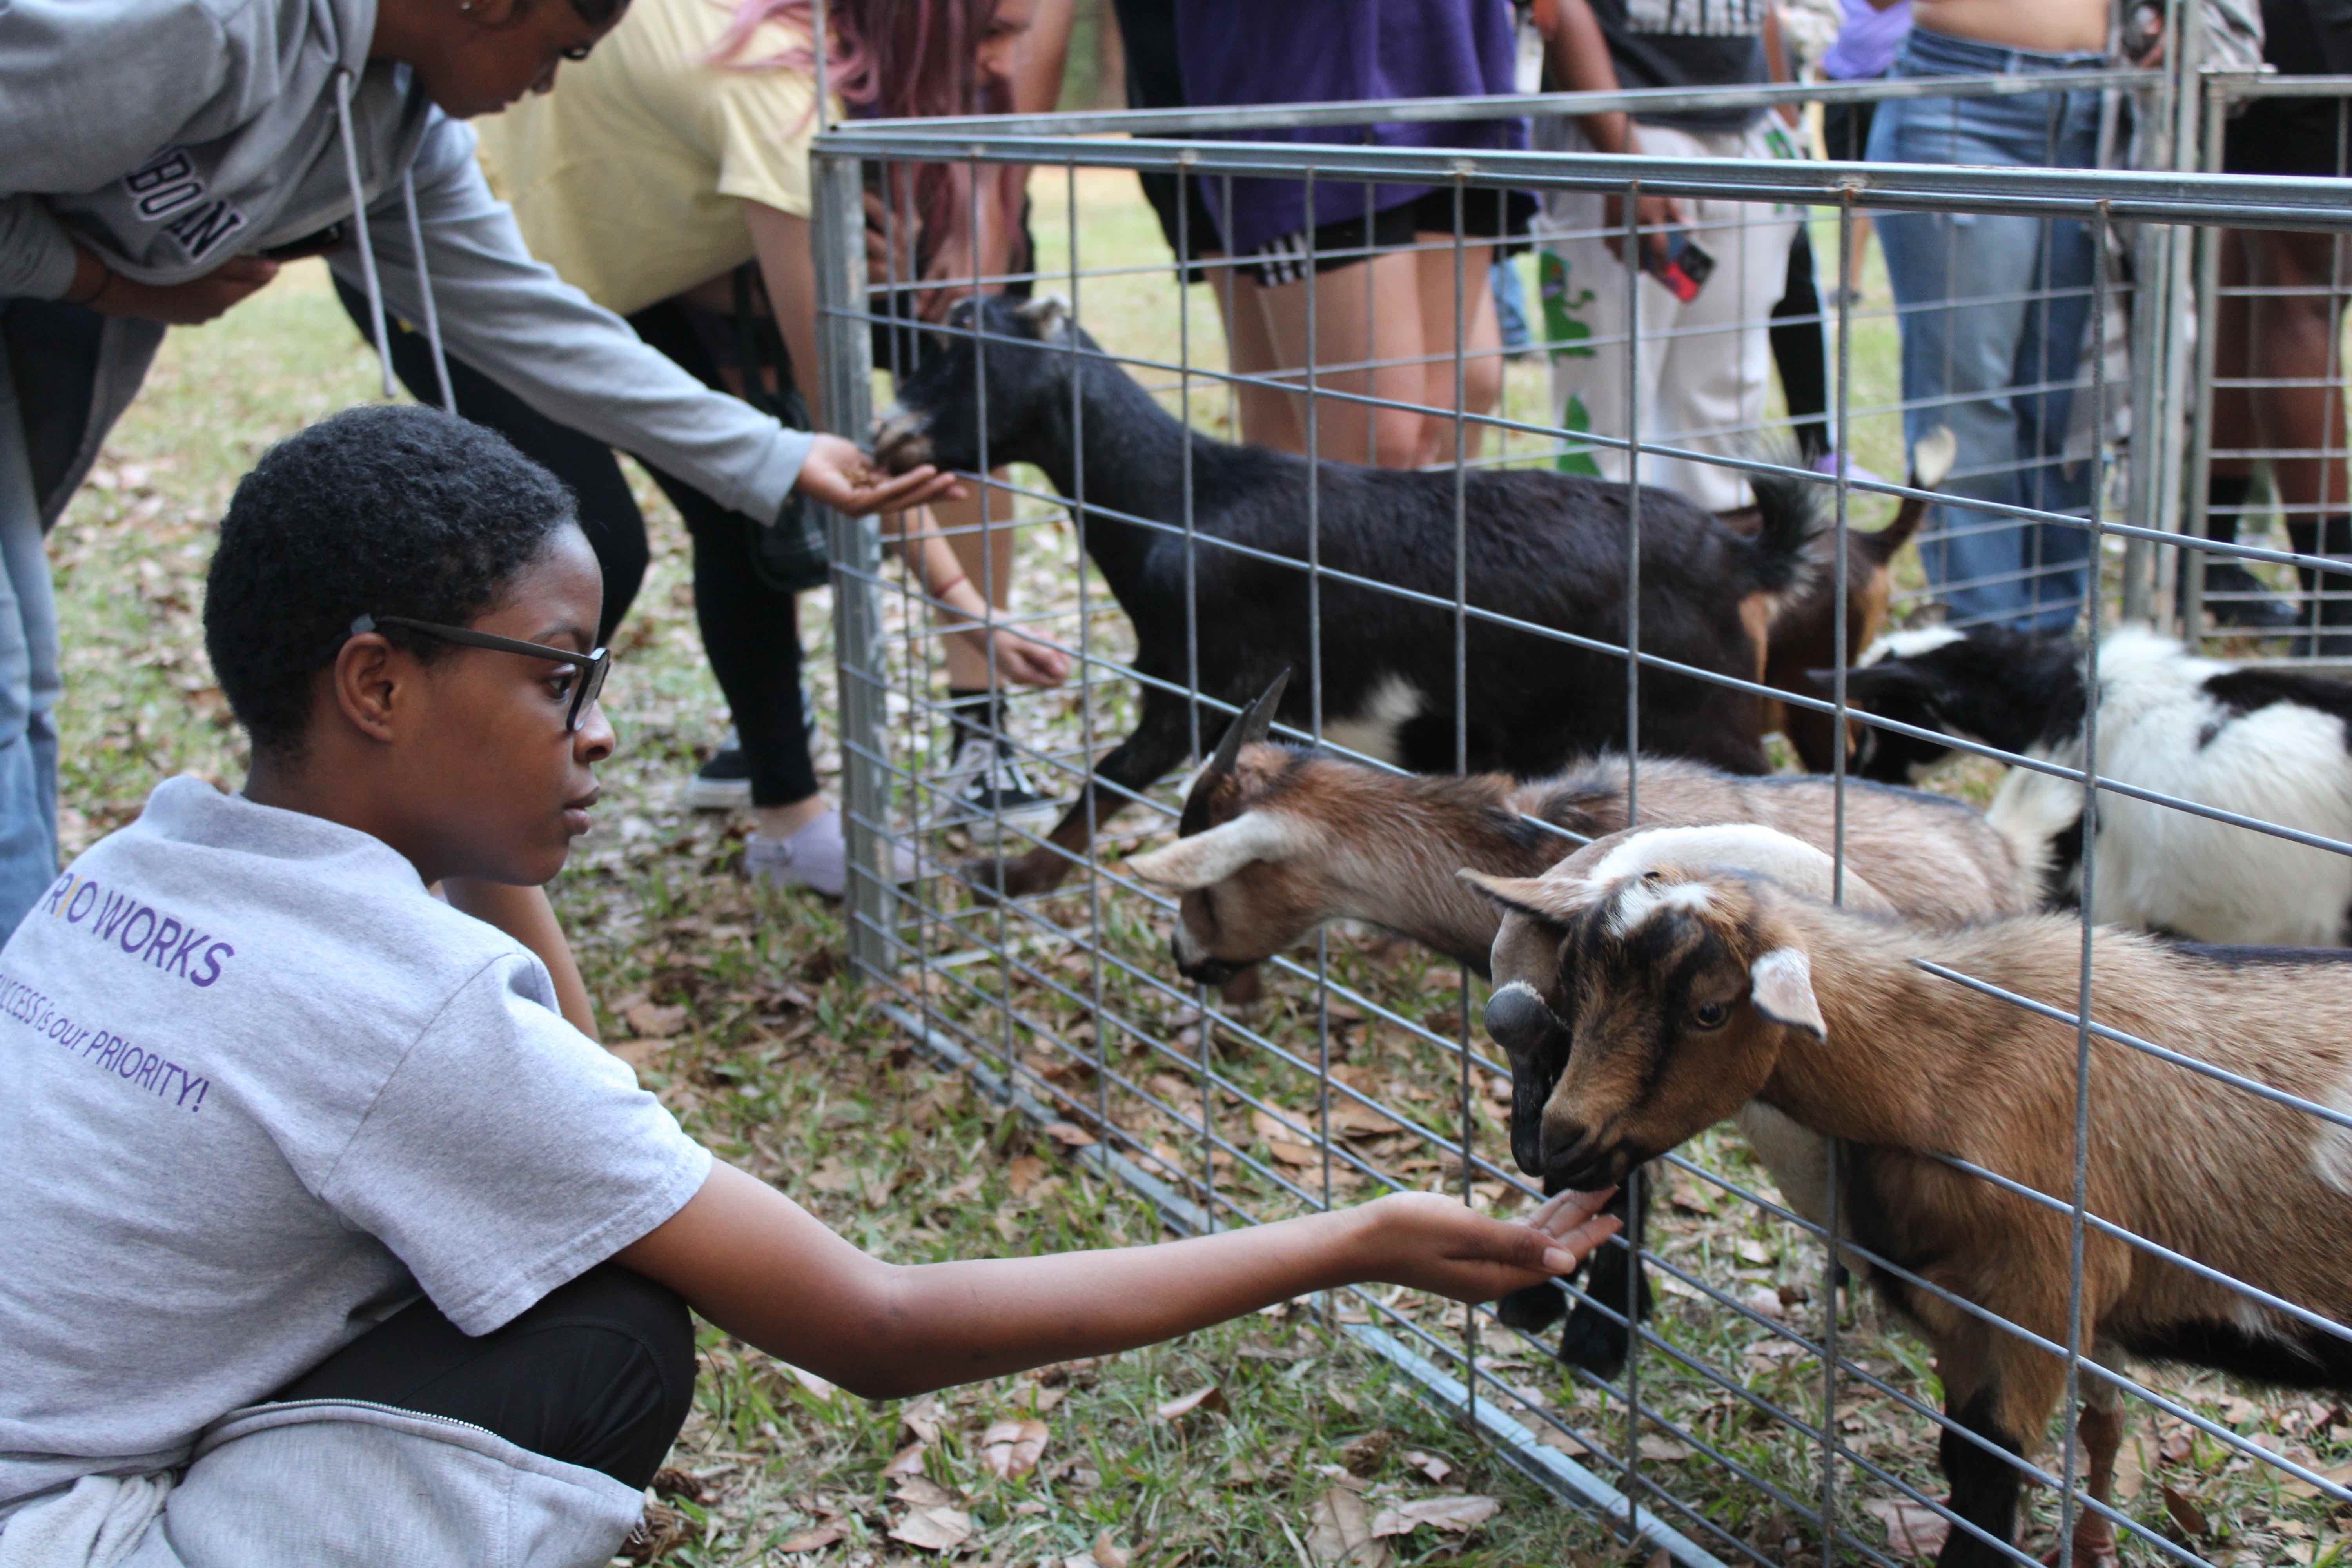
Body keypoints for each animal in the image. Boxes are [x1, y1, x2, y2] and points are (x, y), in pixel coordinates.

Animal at [875, 298, 1825, 902]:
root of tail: (1744, 557)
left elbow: (1107, 778)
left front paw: (1010, 880)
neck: (1183, 498)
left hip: (1699, 710)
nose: (887, 434)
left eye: (964, 346)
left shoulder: (1198, 682)